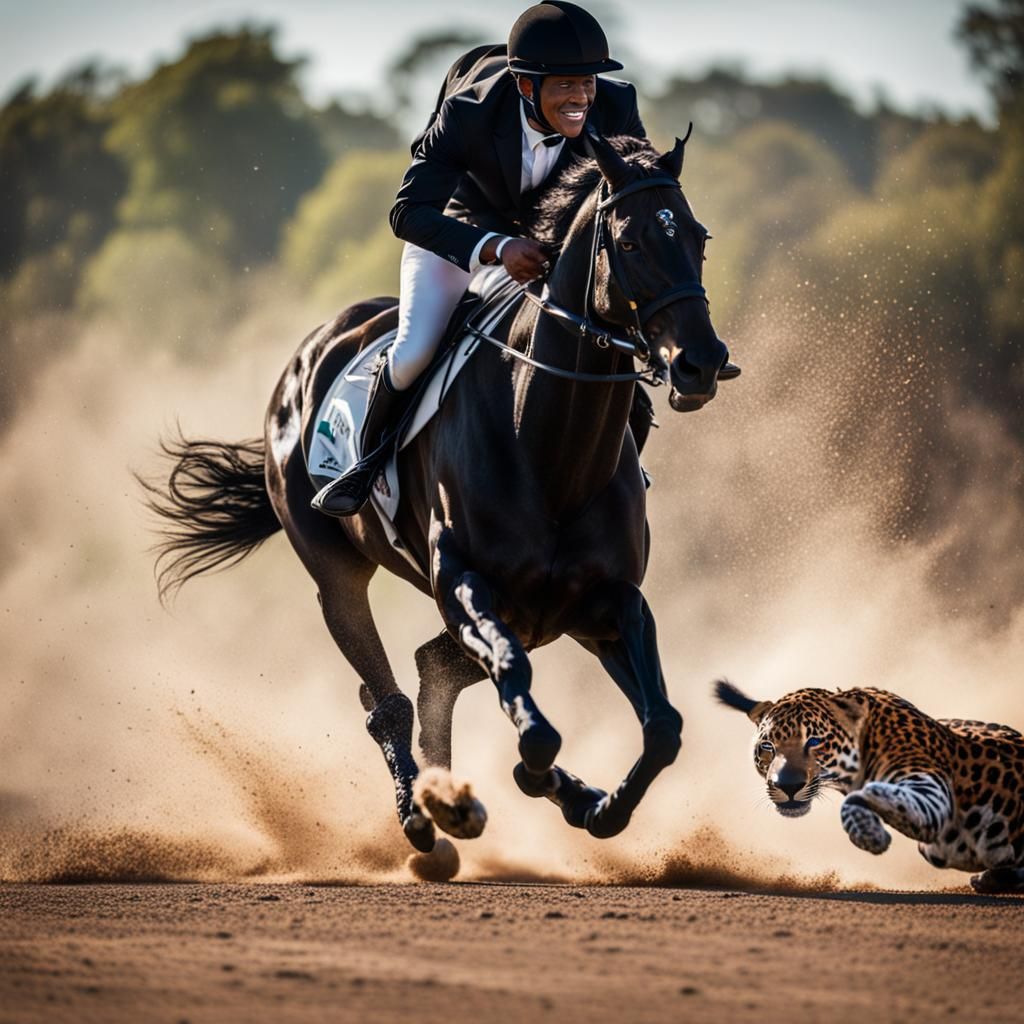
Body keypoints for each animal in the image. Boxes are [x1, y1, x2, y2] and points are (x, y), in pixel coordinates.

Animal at [144, 132, 730, 875]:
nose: (701, 362)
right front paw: (535, 780)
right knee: (387, 696)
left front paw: (598, 806)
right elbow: (527, 713)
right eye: (627, 241)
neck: (550, 445)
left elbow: (662, 727)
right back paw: (426, 819)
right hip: (339, 572)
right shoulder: (465, 585)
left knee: (429, 671)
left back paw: (461, 799)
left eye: (699, 237)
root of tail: (309, 353)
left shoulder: (604, 602)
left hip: (537, 616)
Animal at [714, 680, 1024, 893]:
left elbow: (869, 795)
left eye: (814, 741)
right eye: (768, 746)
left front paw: (871, 834)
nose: (788, 785)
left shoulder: (930, 789)